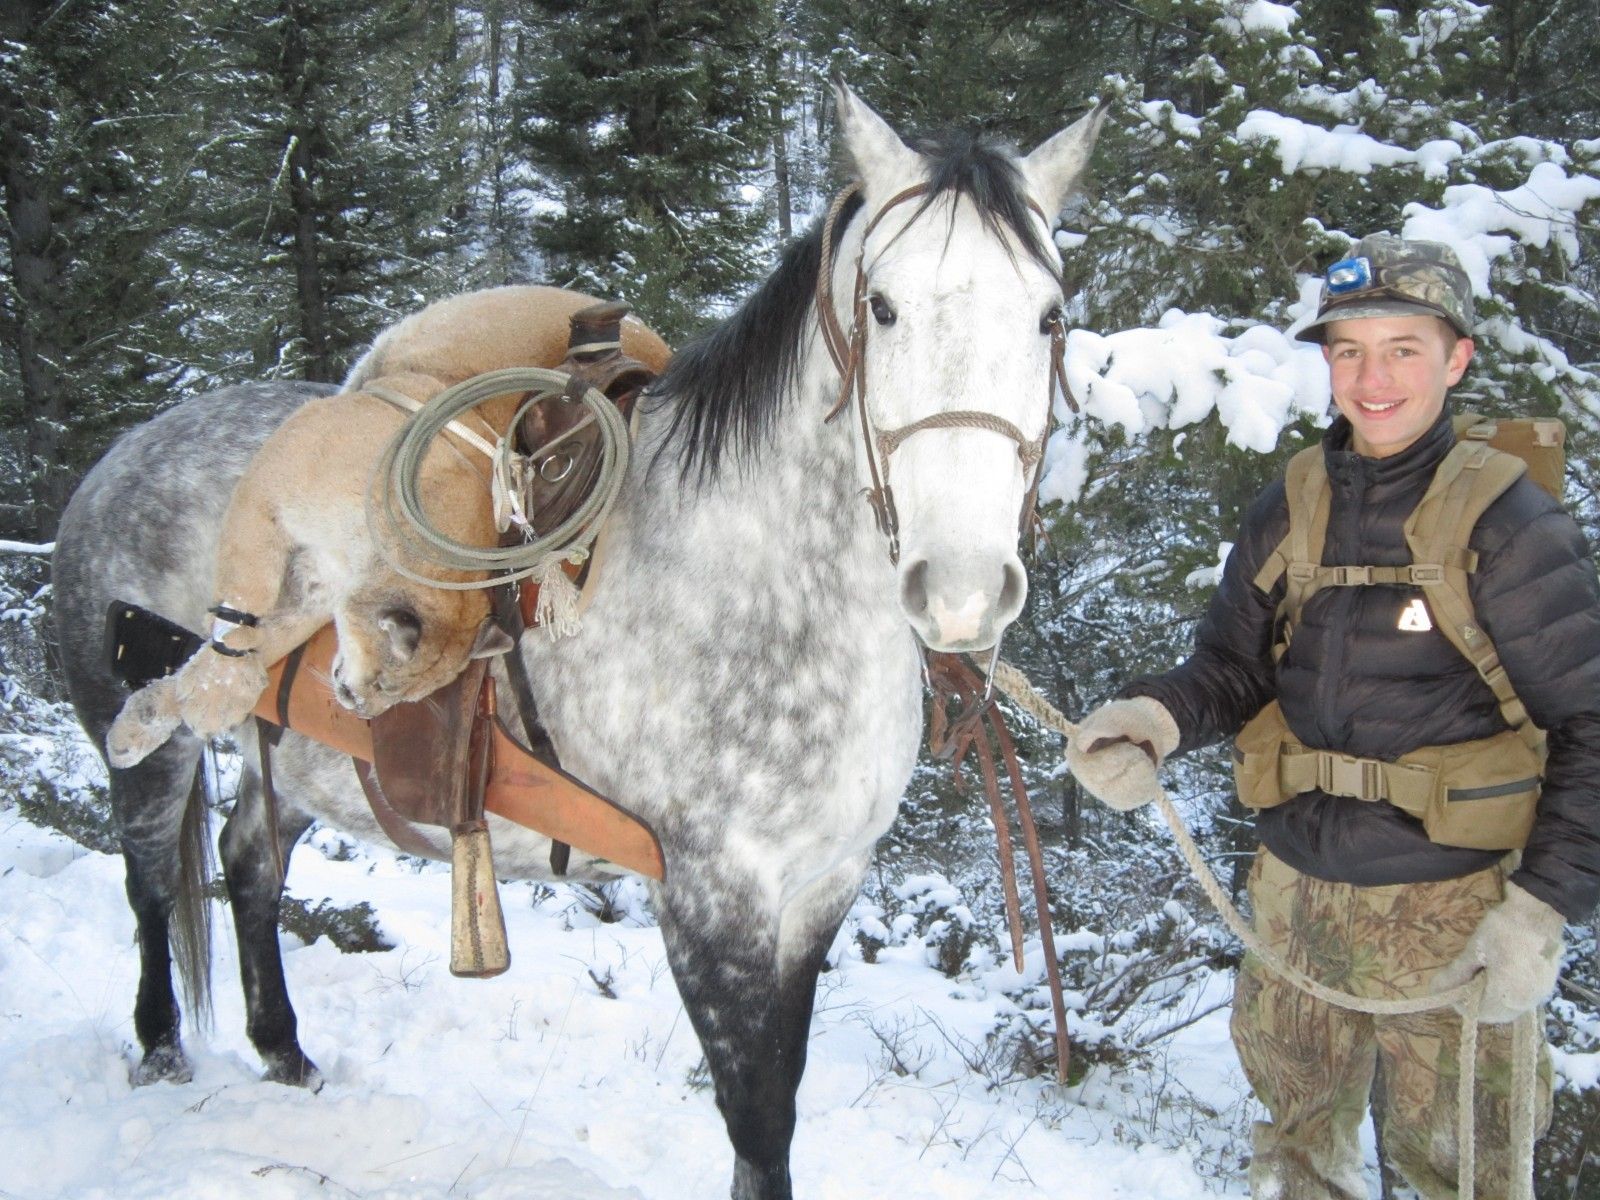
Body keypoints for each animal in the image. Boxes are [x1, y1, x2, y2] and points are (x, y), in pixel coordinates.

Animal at [50, 83, 1105, 1199]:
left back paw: (284, 1049)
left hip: (291, 754)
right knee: (151, 872)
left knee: (248, 863)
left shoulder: (821, 890)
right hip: (151, 743)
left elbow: (780, 1094)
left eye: (1049, 317)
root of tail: (125, 452)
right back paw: (160, 1045)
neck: (759, 584)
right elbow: (759, 1118)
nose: (962, 588)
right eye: (884, 307)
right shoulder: (711, 899)